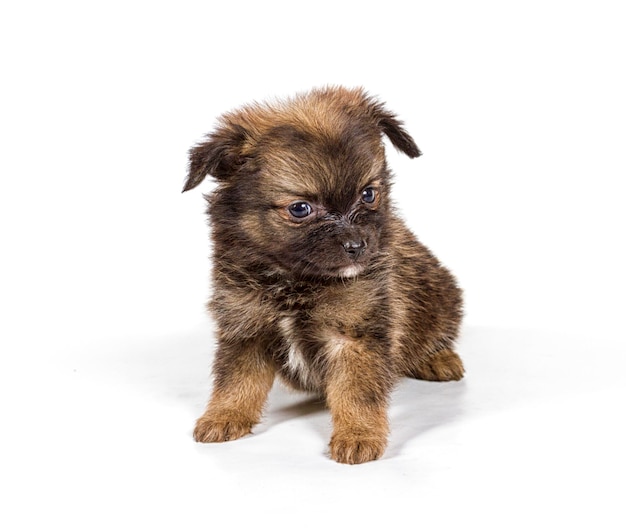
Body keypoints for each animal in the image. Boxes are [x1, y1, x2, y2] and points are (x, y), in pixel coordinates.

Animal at [183, 85, 460, 464]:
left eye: (368, 194)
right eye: (301, 209)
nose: (357, 244)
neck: (294, 282)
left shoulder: (355, 336)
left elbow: (357, 392)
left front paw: (358, 434)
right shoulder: (246, 327)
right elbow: (236, 380)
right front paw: (224, 415)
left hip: (441, 295)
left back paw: (440, 359)